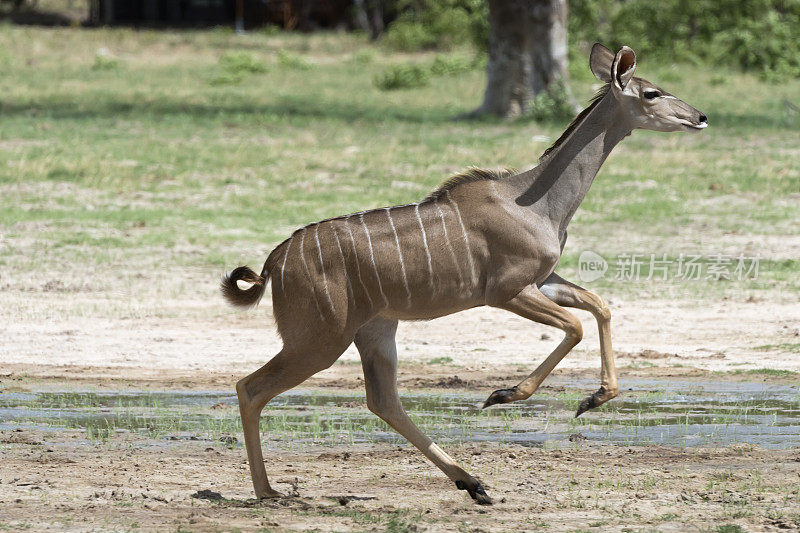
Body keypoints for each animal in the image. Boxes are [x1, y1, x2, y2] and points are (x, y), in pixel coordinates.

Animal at [222, 44, 708, 502]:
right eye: (652, 92)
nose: (700, 117)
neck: (534, 201)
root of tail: (274, 263)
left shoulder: (543, 280)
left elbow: (600, 307)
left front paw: (593, 399)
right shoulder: (506, 291)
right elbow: (575, 325)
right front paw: (504, 395)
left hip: (375, 329)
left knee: (383, 401)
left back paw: (472, 483)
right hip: (321, 338)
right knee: (251, 387)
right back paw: (268, 491)